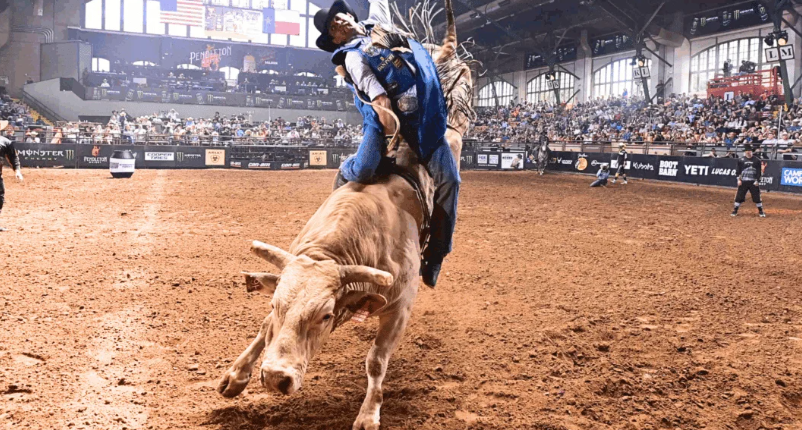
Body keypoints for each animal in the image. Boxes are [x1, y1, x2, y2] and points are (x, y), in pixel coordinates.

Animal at [216, 0, 473, 428]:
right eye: (275, 305)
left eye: (323, 316)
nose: (275, 378)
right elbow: (264, 330)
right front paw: (235, 376)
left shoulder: (400, 306)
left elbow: (376, 361)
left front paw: (368, 414)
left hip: (453, 137)